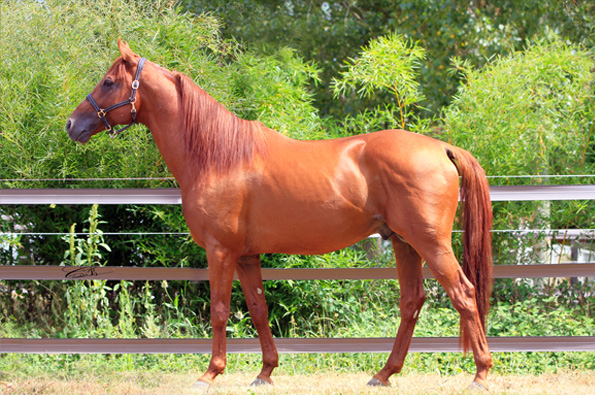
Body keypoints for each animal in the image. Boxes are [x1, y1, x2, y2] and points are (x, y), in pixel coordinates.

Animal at [64, 40, 494, 390]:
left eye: (108, 82)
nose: (71, 124)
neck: (218, 156)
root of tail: (441, 148)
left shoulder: (220, 252)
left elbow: (219, 311)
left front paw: (210, 373)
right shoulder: (246, 255)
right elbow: (258, 309)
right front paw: (265, 372)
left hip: (430, 243)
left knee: (463, 293)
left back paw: (481, 373)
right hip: (405, 244)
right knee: (412, 302)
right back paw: (384, 374)